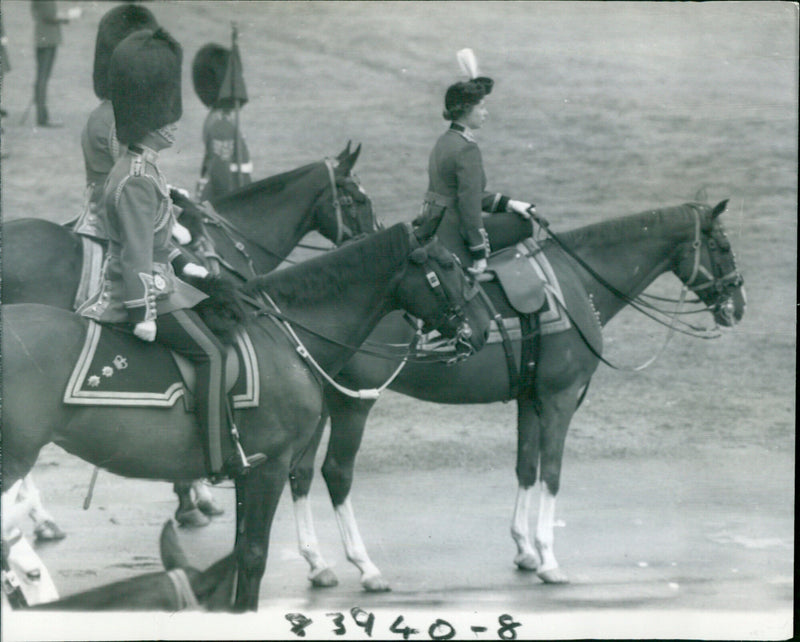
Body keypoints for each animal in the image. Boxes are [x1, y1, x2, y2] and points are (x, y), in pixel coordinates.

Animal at [3, 221, 490, 608]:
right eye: (448, 264)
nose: (485, 328)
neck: (284, 337)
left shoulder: (245, 471)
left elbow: (237, 557)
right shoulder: (268, 468)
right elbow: (253, 557)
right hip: (12, 463)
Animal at [284, 198, 748, 588]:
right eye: (723, 245)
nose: (739, 305)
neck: (576, 283)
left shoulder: (531, 398)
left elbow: (526, 466)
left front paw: (525, 549)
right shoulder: (560, 399)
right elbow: (552, 473)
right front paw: (548, 558)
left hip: (324, 401)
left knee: (300, 472)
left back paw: (318, 563)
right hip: (352, 403)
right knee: (337, 473)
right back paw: (365, 566)